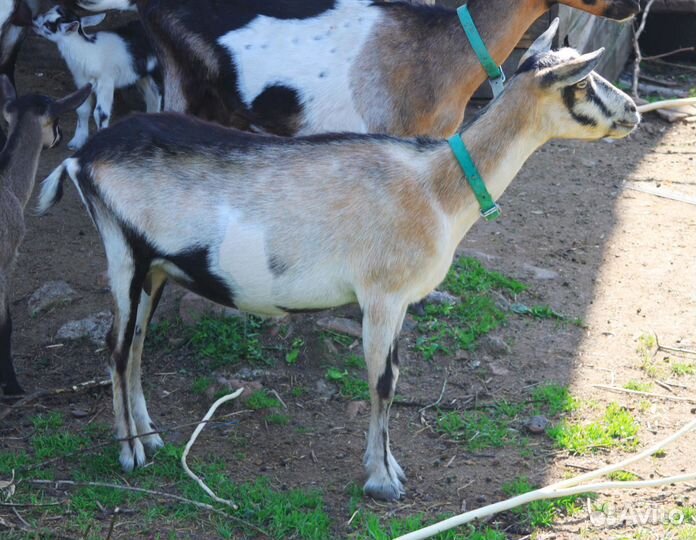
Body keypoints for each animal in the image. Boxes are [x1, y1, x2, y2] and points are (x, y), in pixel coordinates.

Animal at [33, 6, 161, 150]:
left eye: (48, 25)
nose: (33, 20)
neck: (88, 51)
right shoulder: (82, 80)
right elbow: (82, 109)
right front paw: (76, 142)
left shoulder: (106, 81)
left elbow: (101, 113)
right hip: (142, 74)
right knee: (152, 96)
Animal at [37, 24, 640, 500]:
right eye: (582, 81)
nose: (634, 111)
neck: (437, 188)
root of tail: (81, 158)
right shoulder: (382, 295)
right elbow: (384, 382)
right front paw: (382, 481)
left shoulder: (398, 303)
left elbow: (390, 375)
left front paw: (388, 467)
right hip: (124, 254)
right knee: (116, 348)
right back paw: (130, 454)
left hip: (157, 268)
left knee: (136, 345)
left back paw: (151, 437)